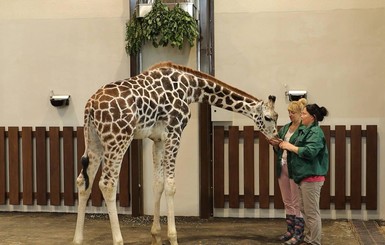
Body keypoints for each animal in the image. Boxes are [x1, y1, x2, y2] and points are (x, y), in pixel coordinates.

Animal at [71, 61, 276, 245]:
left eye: (277, 117)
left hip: (95, 140)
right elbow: (170, 185)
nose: (275, 139)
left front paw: (155, 236)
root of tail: (90, 106)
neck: (191, 87)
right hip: (118, 138)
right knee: (107, 184)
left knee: (83, 182)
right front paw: (172, 237)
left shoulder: (158, 139)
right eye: (268, 117)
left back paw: (77, 239)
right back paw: (118, 240)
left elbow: (158, 184)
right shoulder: (175, 132)